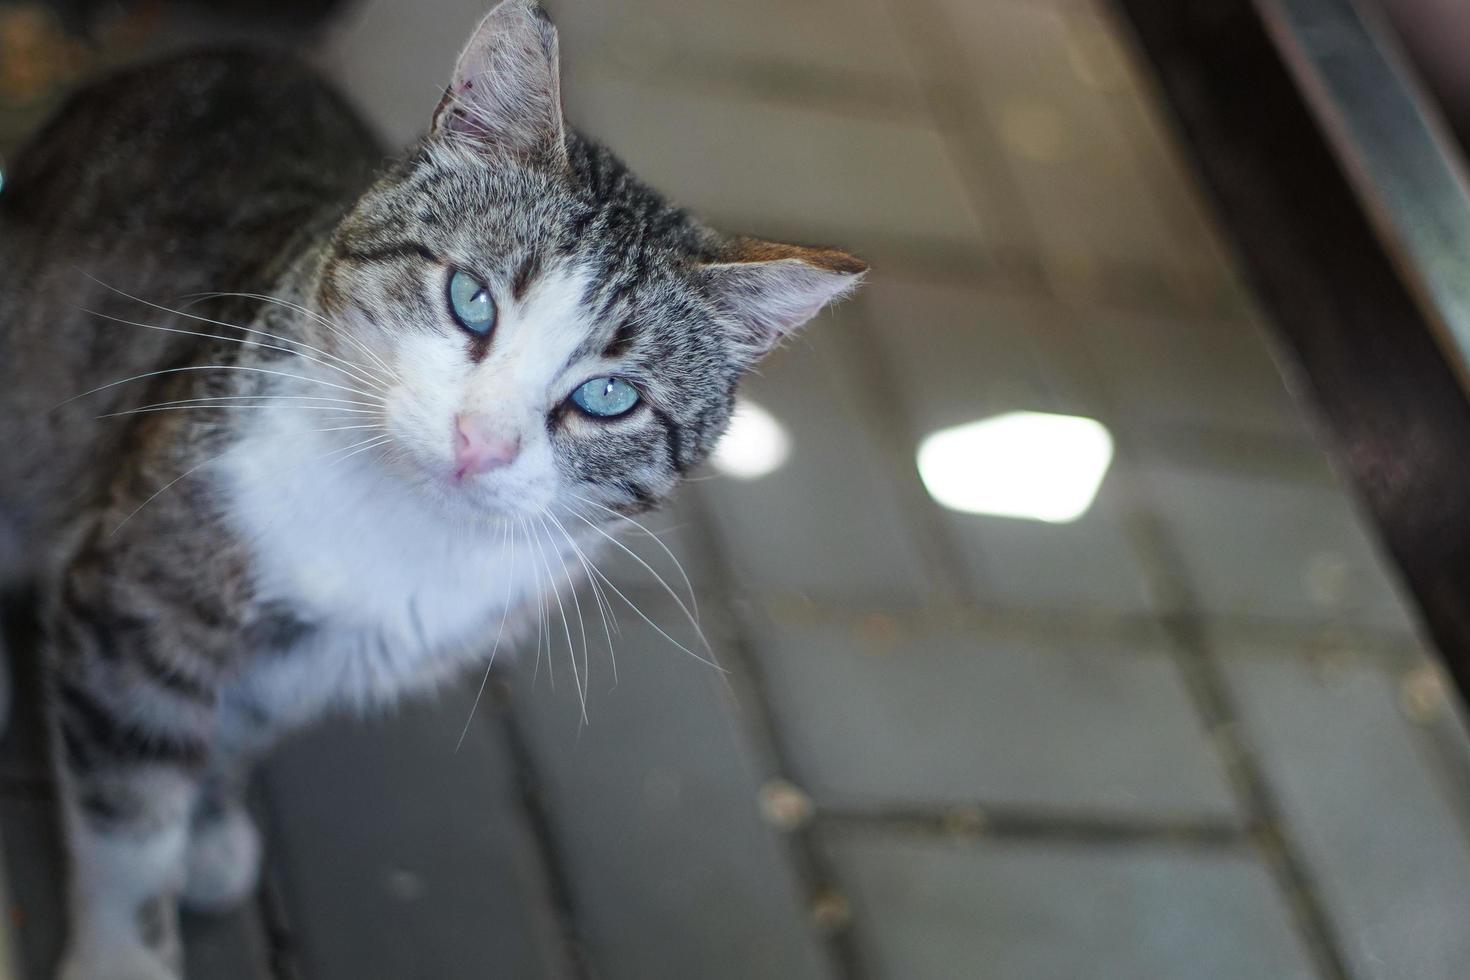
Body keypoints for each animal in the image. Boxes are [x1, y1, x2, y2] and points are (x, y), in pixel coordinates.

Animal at [0, 3, 858, 975]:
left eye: (608, 397)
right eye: (470, 299)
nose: (479, 443)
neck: (397, 535)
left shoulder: (303, 668)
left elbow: (227, 741)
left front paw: (209, 825)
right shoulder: (143, 594)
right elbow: (132, 826)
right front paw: (127, 948)